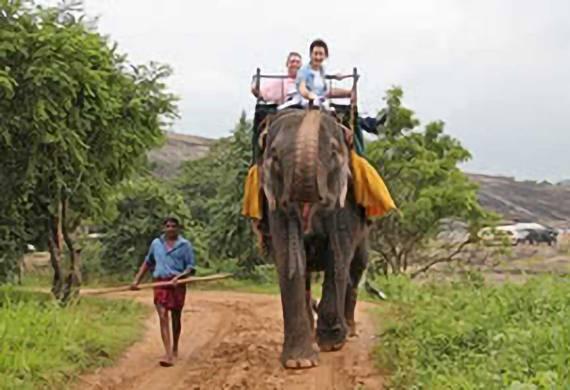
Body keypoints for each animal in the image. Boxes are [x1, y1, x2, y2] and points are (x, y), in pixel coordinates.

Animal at [258, 107, 366, 368]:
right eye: (274, 156)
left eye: (334, 152)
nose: (312, 105)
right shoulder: (275, 203)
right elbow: (288, 257)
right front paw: (299, 362)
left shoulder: (346, 198)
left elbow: (338, 257)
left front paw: (332, 344)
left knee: (356, 267)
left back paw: (350, 331)